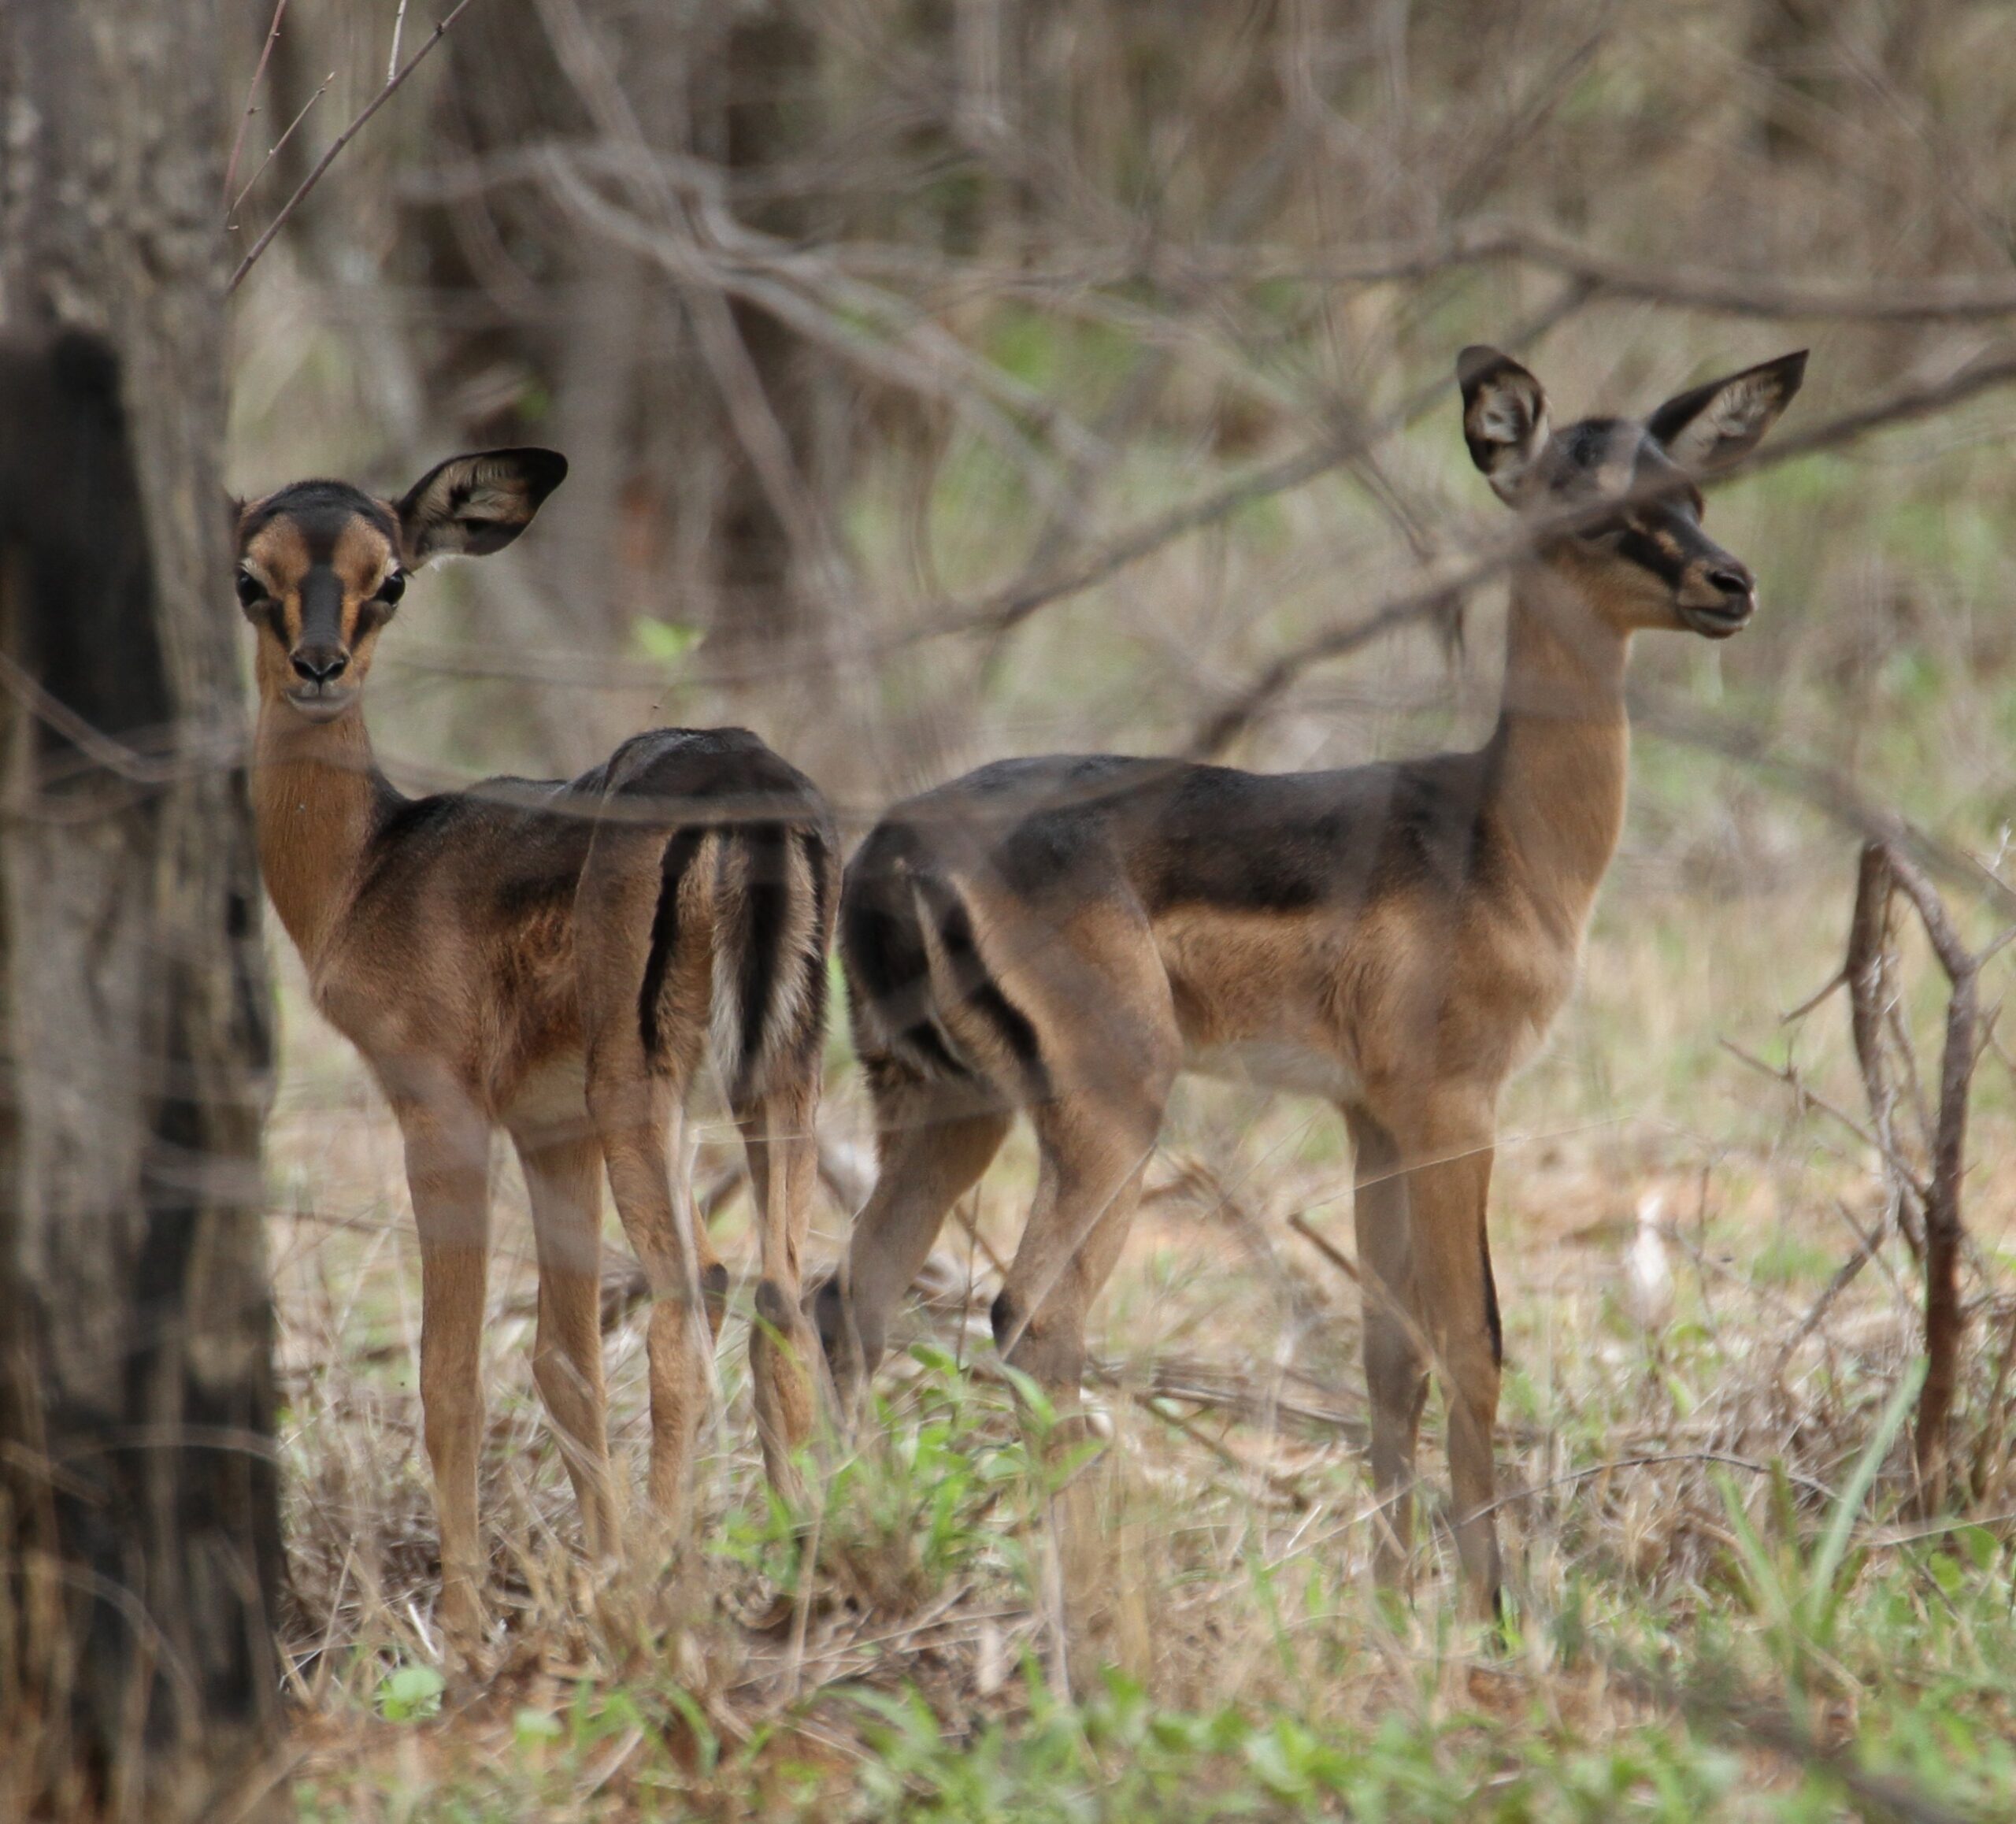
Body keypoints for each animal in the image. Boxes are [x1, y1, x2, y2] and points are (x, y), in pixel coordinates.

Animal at [235, 449, 837, 1651]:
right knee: (780, 1291)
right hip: (777, 1073)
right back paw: (791, 1575)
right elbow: (565, 1366)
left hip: (640, 1090)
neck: (373, 869)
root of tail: (744, 784)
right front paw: (590, 1578)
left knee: (688, 1290)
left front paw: (469, 1626)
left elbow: (452, 1374)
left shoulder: (445, 1117)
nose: (321, 668)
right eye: (250, 577)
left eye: (391, 579)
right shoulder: (550, 1134)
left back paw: (667, 1589)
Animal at [814, 346, 1805, 1620]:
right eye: (1583, 503)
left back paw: (843, 1531)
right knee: (1030, 1317)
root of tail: (890, 852)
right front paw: (1491, 1616)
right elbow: (1475, 1342)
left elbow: (1391, 1358)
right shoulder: (1454, 1106)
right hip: (1108, 1108)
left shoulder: (1366, 1115)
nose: (1729, 585)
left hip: (945, 1106)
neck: (1499, 834)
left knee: (851, 1297)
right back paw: (1094, 1604)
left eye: (1691, 491)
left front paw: (1391, 1607)